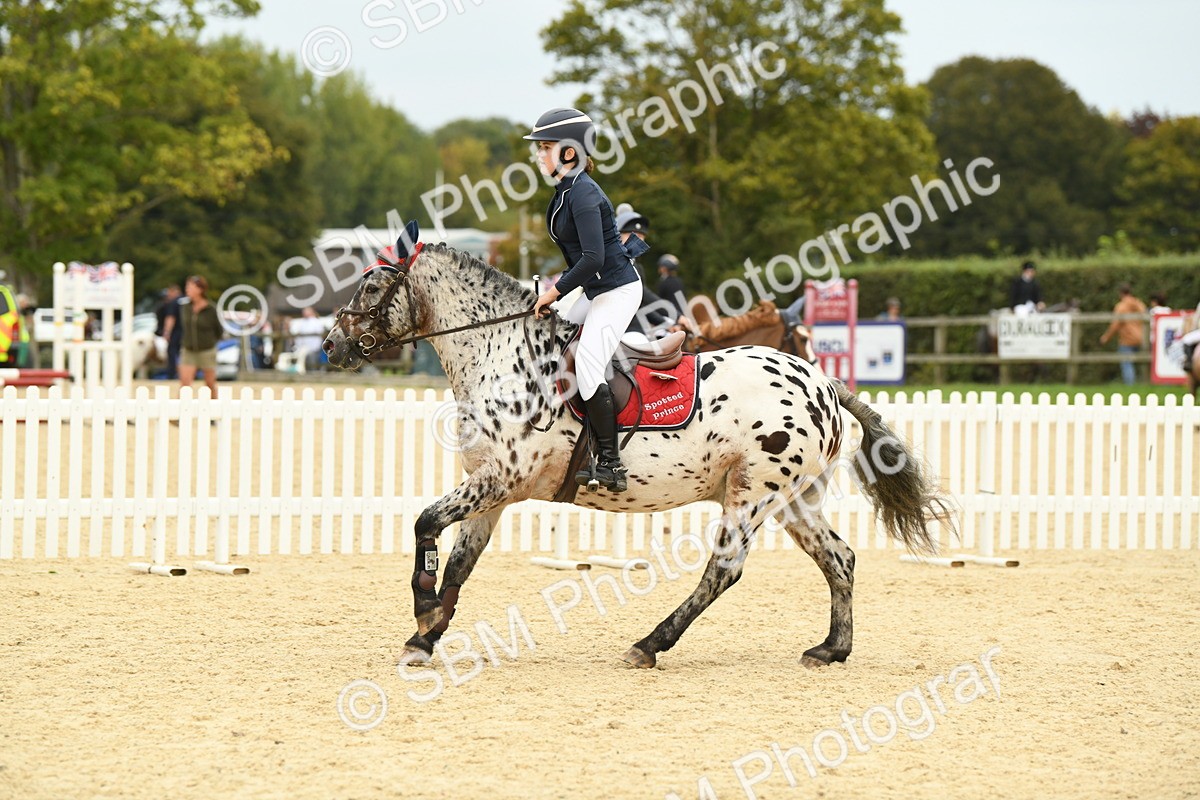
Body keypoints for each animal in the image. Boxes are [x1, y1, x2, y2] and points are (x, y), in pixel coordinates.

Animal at [323, 240, 952, 670]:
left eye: (372, 291)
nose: (332, 345)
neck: (499, 351)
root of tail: (821, 381)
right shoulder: (491, 491)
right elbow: (457, 563)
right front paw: (426, 635)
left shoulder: (500, 480)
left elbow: (424, 524)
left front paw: (423, 613)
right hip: (794, 500)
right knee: (838, 559)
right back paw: (831, 649)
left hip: (753, 493)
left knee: (724, 570)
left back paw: (650, 644)